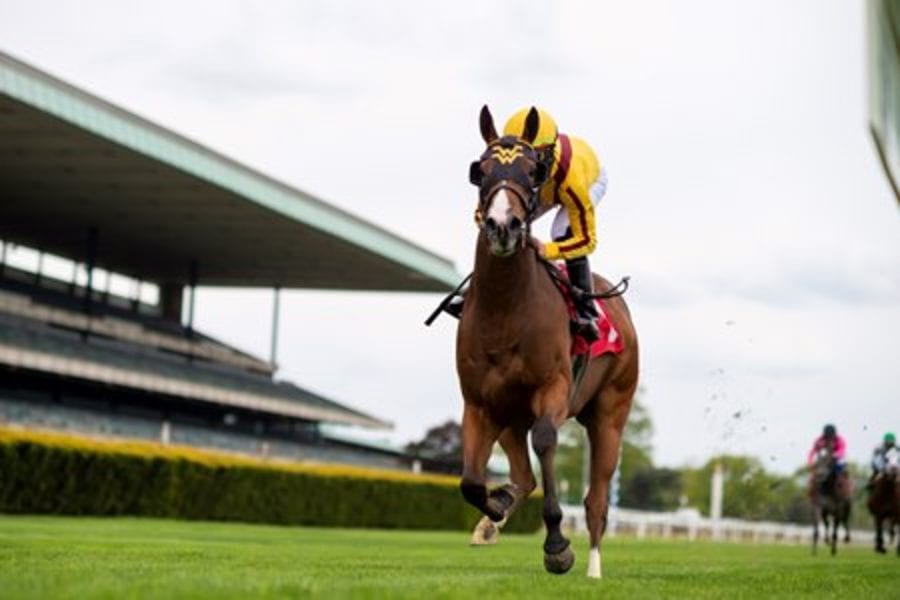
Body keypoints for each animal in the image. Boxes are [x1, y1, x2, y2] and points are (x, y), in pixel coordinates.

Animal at [458, 106, 640, 576]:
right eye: (480, 170)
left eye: (531, 170)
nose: (503, 226)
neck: (505, 311)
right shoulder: (480, 403)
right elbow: (471, 482)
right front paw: (495, 508)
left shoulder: (553, 388)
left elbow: (545, 440)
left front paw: (557, 545)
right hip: (510, 416)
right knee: (524, 477)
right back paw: (497, 512)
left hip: (610, 414)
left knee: (596, 503)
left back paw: (593, 568)